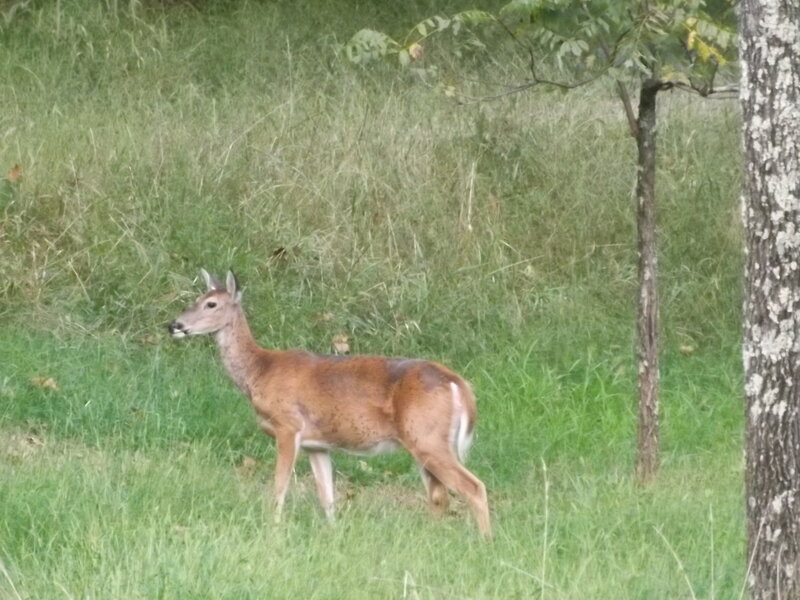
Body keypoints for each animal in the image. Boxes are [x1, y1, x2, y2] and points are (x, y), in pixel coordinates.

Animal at [168, 270, 491, 537]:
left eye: (211, 304)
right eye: (196, 299)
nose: (174, 324)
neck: (260, 371)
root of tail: (458, 384)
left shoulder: (288, 426)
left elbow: (280, 486)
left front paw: (273, 527)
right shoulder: (317, 444)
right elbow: (327, 497)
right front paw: (333, 533)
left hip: (427, 436)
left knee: (473, 486)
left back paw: (485, 541)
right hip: (423, 440)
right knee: (439, 495)